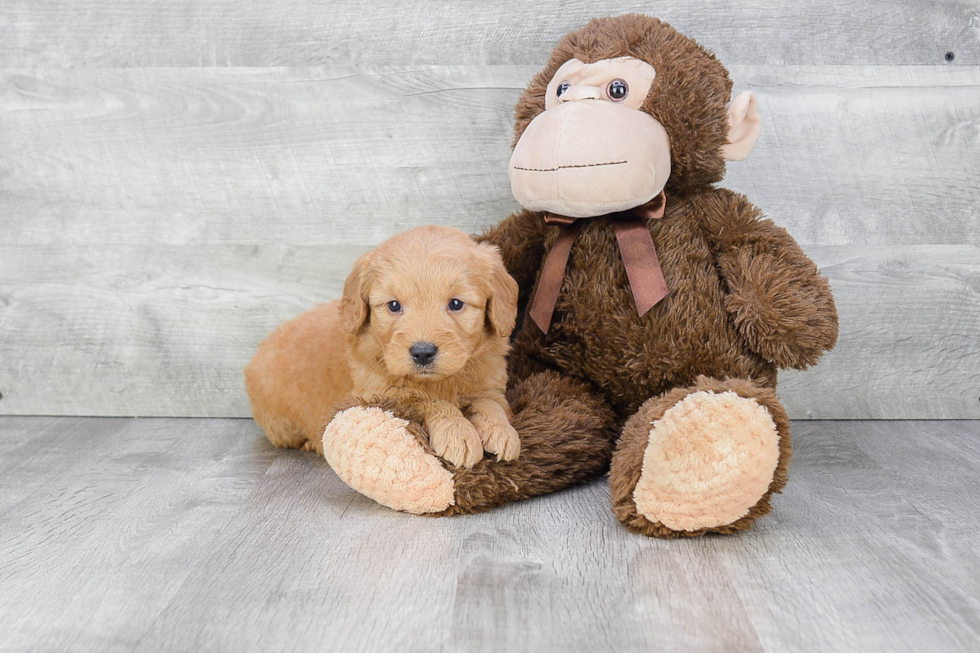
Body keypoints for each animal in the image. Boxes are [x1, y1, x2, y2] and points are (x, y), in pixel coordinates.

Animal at [245, 225, 520, 468]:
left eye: (455, 303)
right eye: (394, 305)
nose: (422, 353)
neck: (438, 381)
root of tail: (257, 354)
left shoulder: (490, 385)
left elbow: (490, 404)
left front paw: (501, 431)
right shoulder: (382, 396)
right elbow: (429, 402)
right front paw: (458, 432)